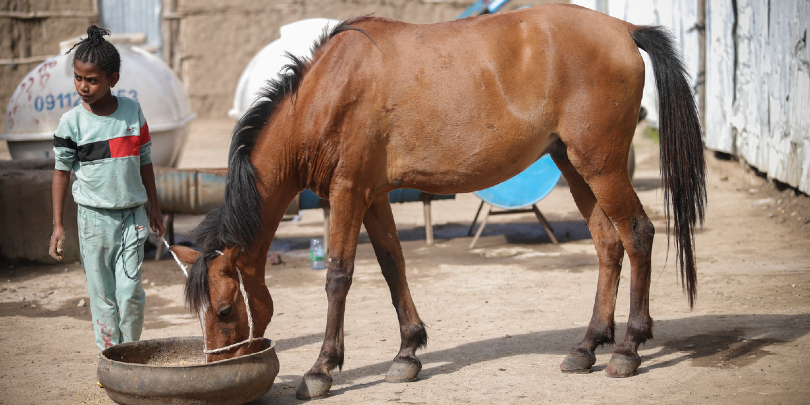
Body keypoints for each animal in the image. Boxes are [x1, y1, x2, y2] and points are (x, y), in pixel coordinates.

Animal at [169, 3, 705, 400]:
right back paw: (589, 345)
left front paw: (321, 369)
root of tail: (624, 29)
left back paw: (629, 348)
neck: (328, 90)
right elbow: (393, 265)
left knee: (637, 235)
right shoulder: (372, 197)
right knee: (607, 246)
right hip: (574, 166)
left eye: (224, 310)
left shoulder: (348, 193)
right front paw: (408, 352)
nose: (222, 364)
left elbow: (339, 276)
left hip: (602, 166)